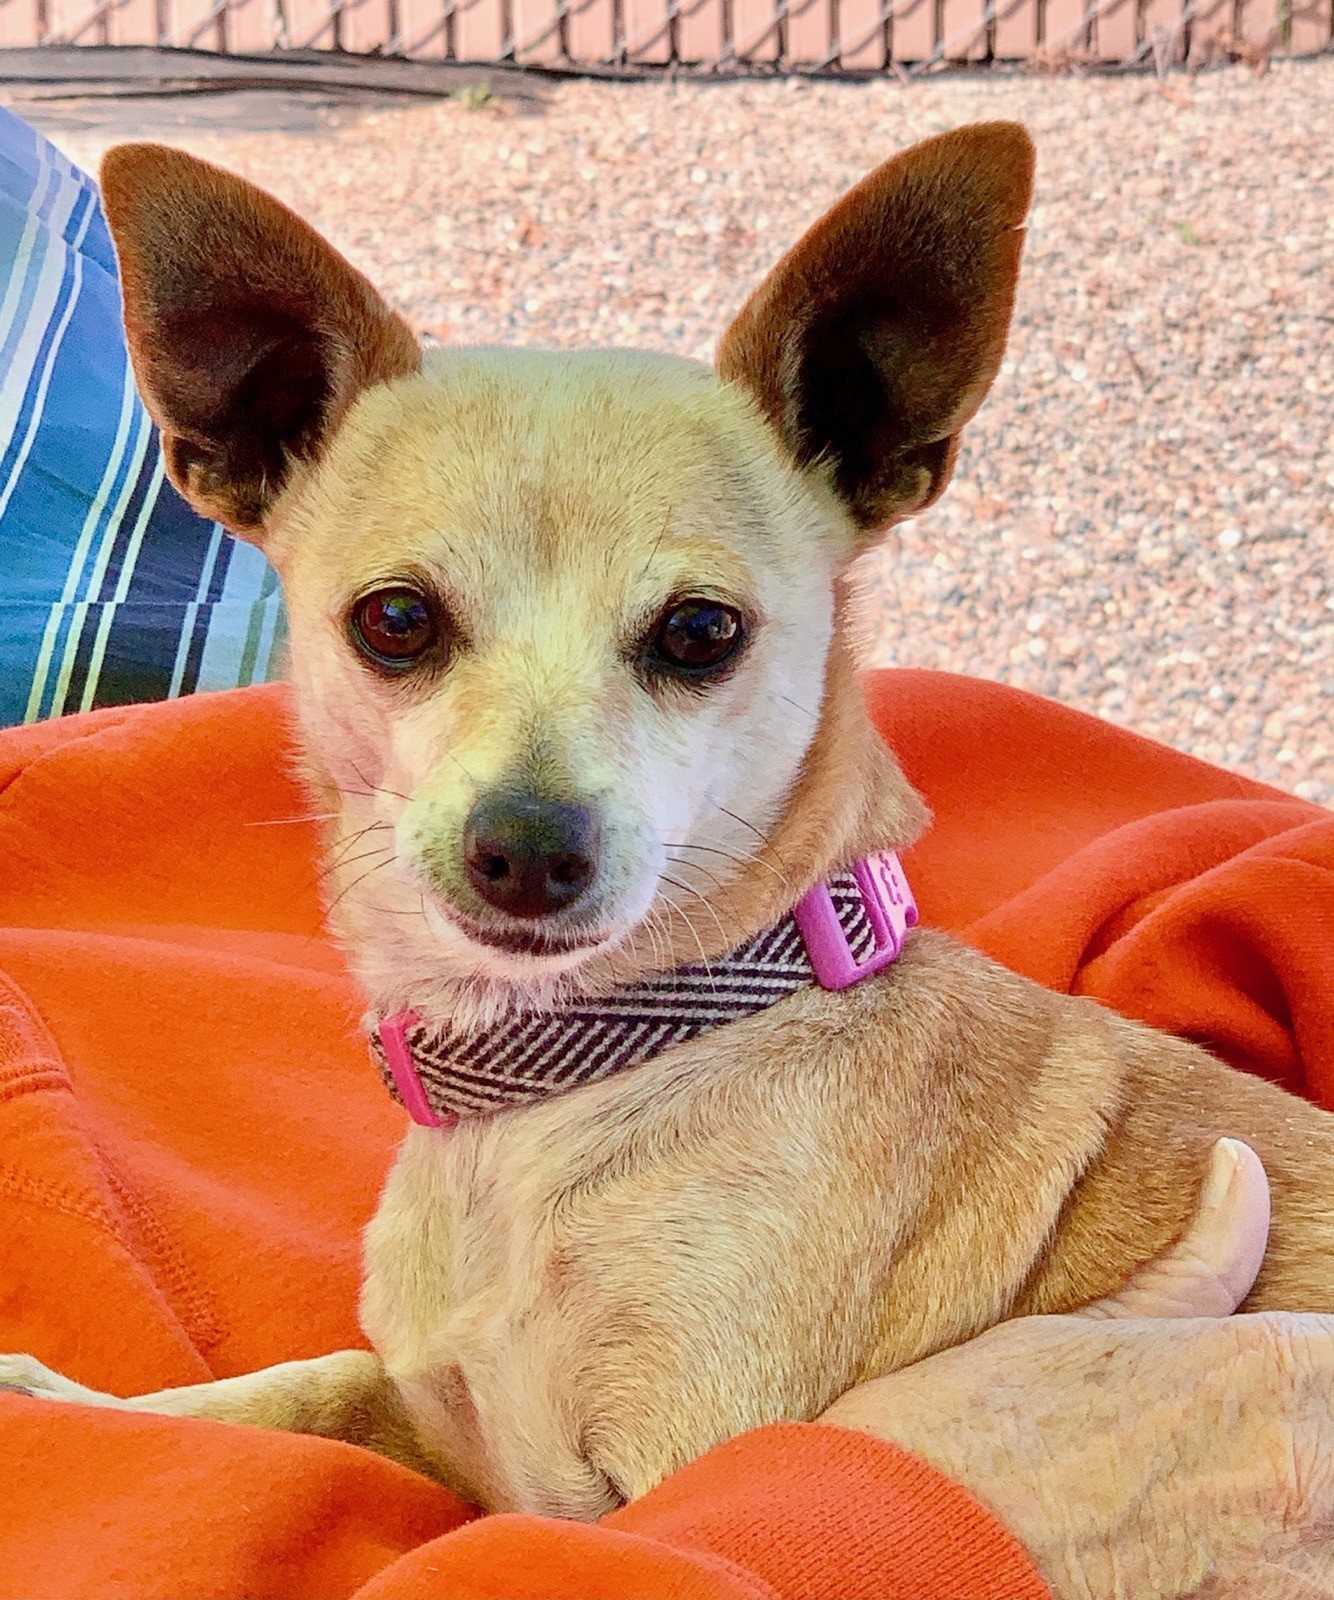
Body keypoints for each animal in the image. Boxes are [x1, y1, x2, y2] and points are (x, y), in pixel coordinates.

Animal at [2, 121, 1330, 1510]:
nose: (529, 849)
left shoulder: (665, 1475)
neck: (549, 1093)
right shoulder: (437, 1424)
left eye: (700, 631)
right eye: (394, 619)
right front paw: (88, 1408)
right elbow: (300, 1392)